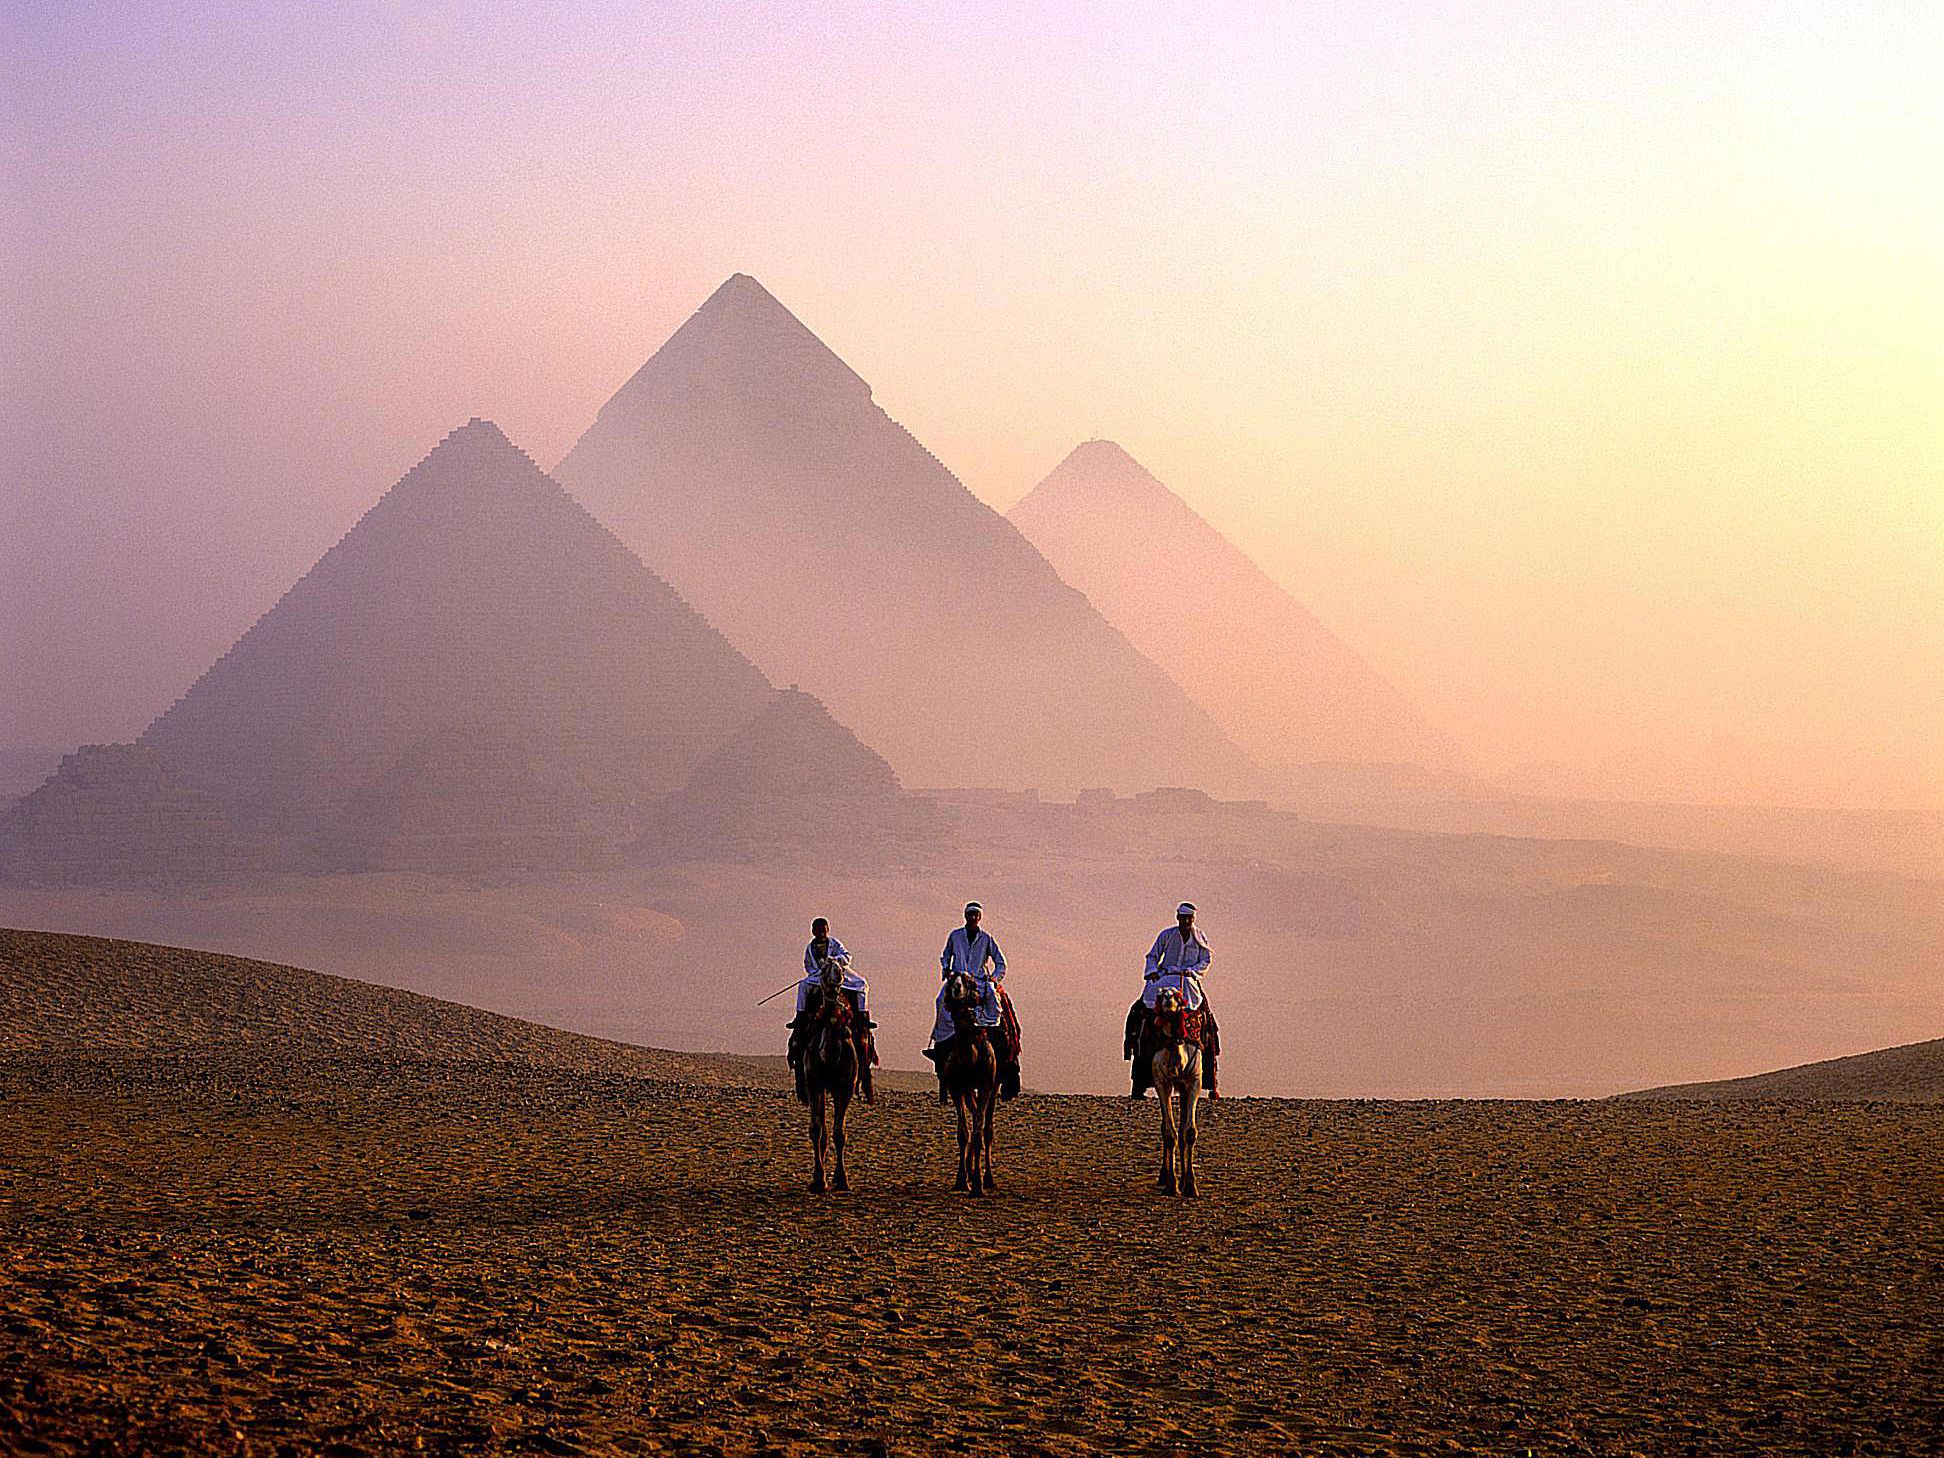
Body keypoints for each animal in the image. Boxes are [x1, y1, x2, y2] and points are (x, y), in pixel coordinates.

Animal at [940, 972, 1003, 1197]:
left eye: (969, 982)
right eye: (950, 980)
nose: (957, 988)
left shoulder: (986, 1085)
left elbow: (977, 1133)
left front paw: (977, 1184)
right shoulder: (957, 1087)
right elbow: (963, 1133)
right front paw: (961, 1180)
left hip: (994, 1086)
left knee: (987, 1128)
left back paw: (988, 1179)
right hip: (968, 1089)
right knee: (975, 1114)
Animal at [1135, 995, 1197, 1197]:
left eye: (1178, 997)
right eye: (1160, 995)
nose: (1169, 999)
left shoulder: (1193, 1081)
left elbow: (1189, 1132)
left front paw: (1190, 1186)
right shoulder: (1162, 1083)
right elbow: (1169, 1133)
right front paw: (1172, 1185)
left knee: (1183, 1127)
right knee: (1166, 1127)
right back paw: (1164, 1176)